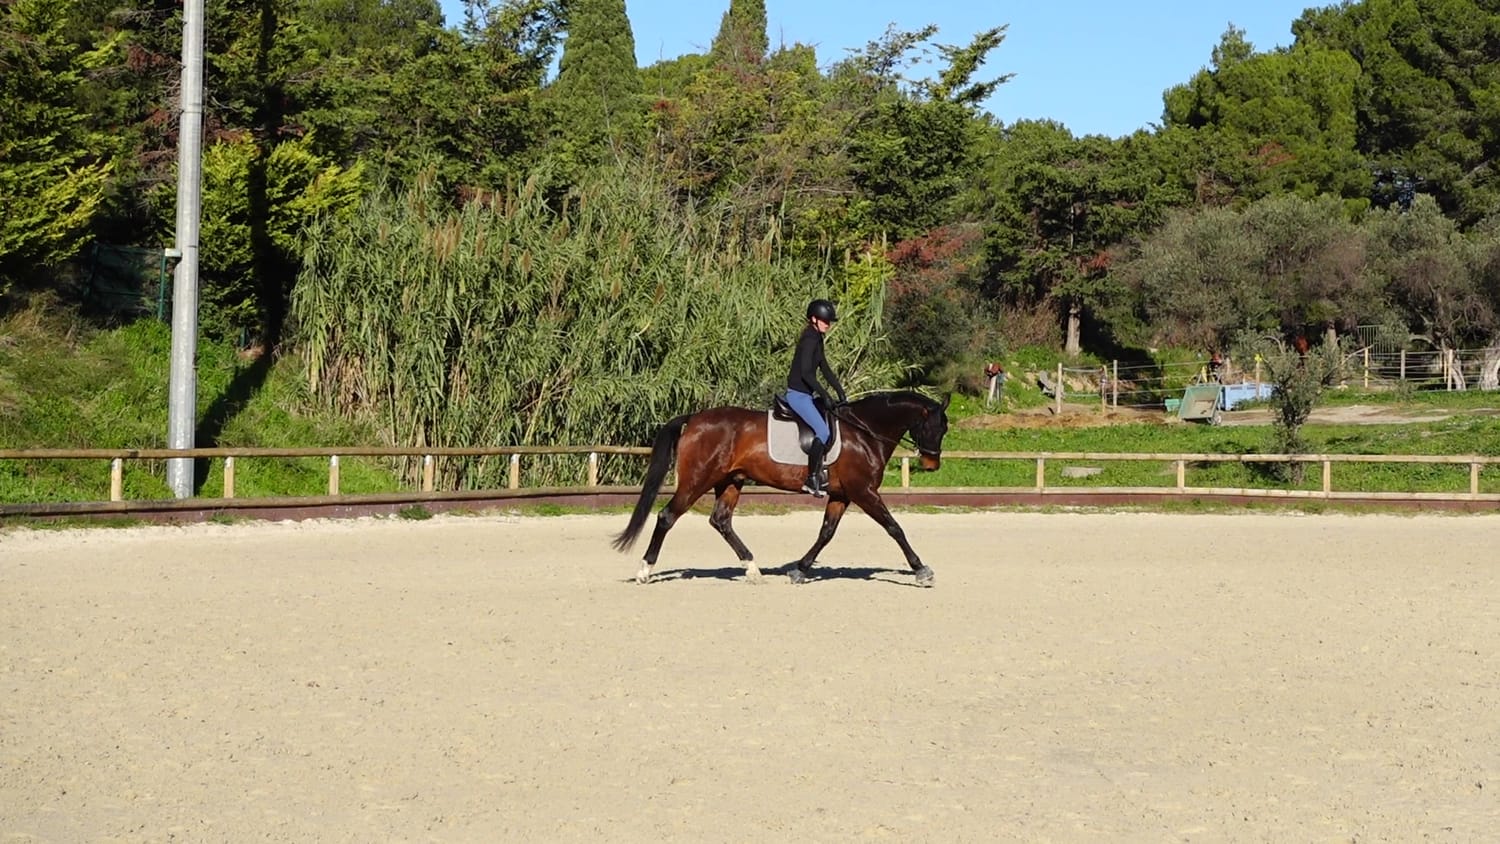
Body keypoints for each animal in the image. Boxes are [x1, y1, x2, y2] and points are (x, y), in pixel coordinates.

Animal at [612, 391, 951, 586]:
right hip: (698, 480)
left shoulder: (841, 495)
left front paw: (800, 569)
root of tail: (694, 418)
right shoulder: (863, 492)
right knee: (667, 516)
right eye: (935, 427)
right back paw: (645, 571)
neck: (865, 431)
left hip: (730, 481)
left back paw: (752, 569)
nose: (932, 465)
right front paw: (921, 570)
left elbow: (826, 533)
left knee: (721, 521)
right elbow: (894, 528)